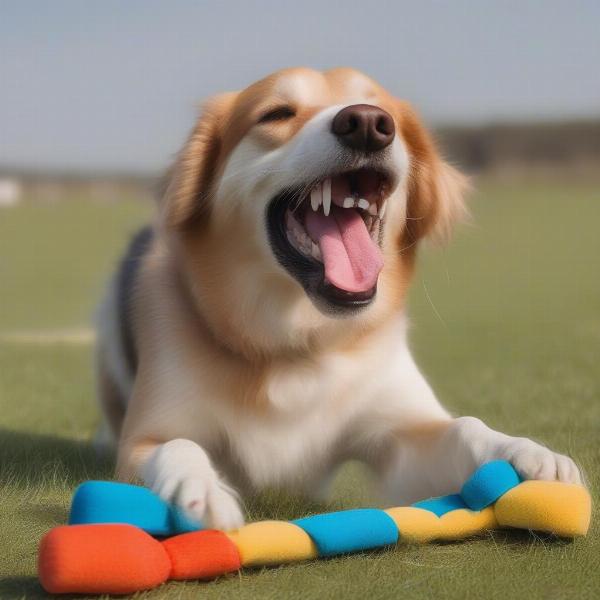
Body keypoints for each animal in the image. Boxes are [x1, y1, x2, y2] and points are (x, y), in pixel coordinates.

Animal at [96, 65, 584, 528]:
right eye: (277, 114)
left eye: (383, 112)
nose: (367, 124)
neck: (294, 343)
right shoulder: (143, 441)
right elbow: (177, 446)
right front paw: (200, 491)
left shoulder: (400, 439)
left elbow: (466, 428)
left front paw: (528, 453)